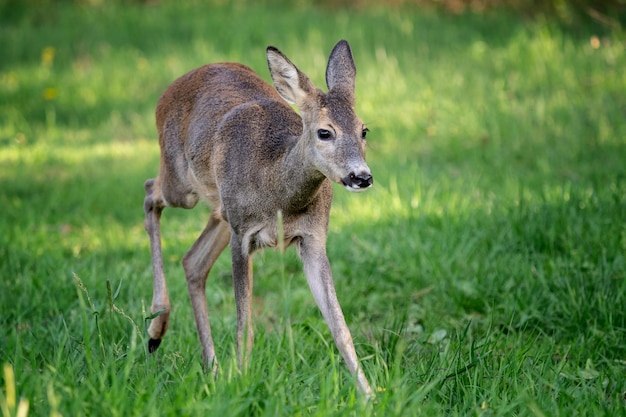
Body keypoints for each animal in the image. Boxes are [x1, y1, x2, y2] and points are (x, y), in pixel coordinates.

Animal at [143, 39, 370, 396]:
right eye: (325, 132)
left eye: (364, 130)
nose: (361, 176)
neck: (276, 192)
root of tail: (171, 88)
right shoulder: (242, 235)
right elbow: (244, 324)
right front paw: (241, 380)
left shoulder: (314, 238)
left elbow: (340, 327)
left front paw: (370, 395)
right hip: (184, 185)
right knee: (150, 191)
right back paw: (156, 331)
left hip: (222, 209)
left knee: (193, 261)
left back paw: (211, 367)